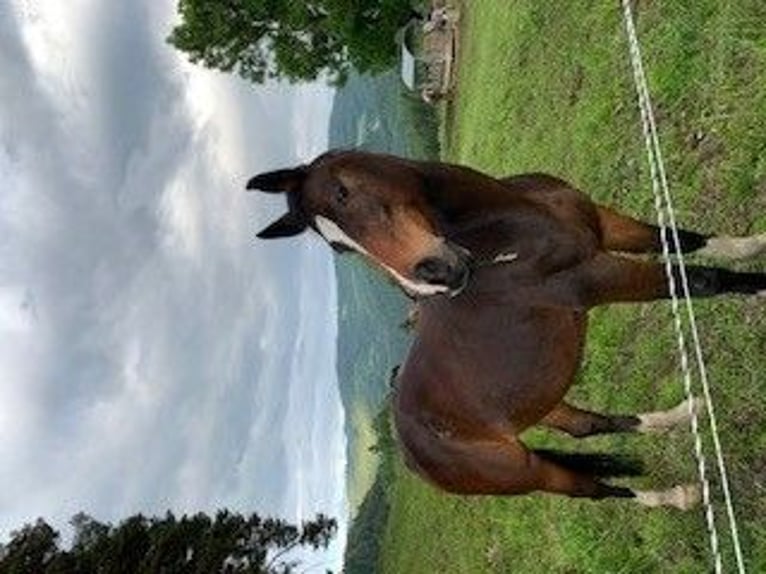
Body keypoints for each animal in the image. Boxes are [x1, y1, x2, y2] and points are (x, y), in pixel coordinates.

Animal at [248, 150, 766, 509]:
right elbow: (704, 281)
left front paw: (753, 244)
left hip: (542, 401)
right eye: (339, 248)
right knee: (591, 488)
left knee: (587, 427)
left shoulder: (606, 225)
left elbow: (685, 240)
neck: (503, 233)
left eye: (343, 194)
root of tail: (409, 453)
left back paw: (684, 413)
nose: (434, 276)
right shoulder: (595, 278)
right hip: (526, 472)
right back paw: (678, 496)